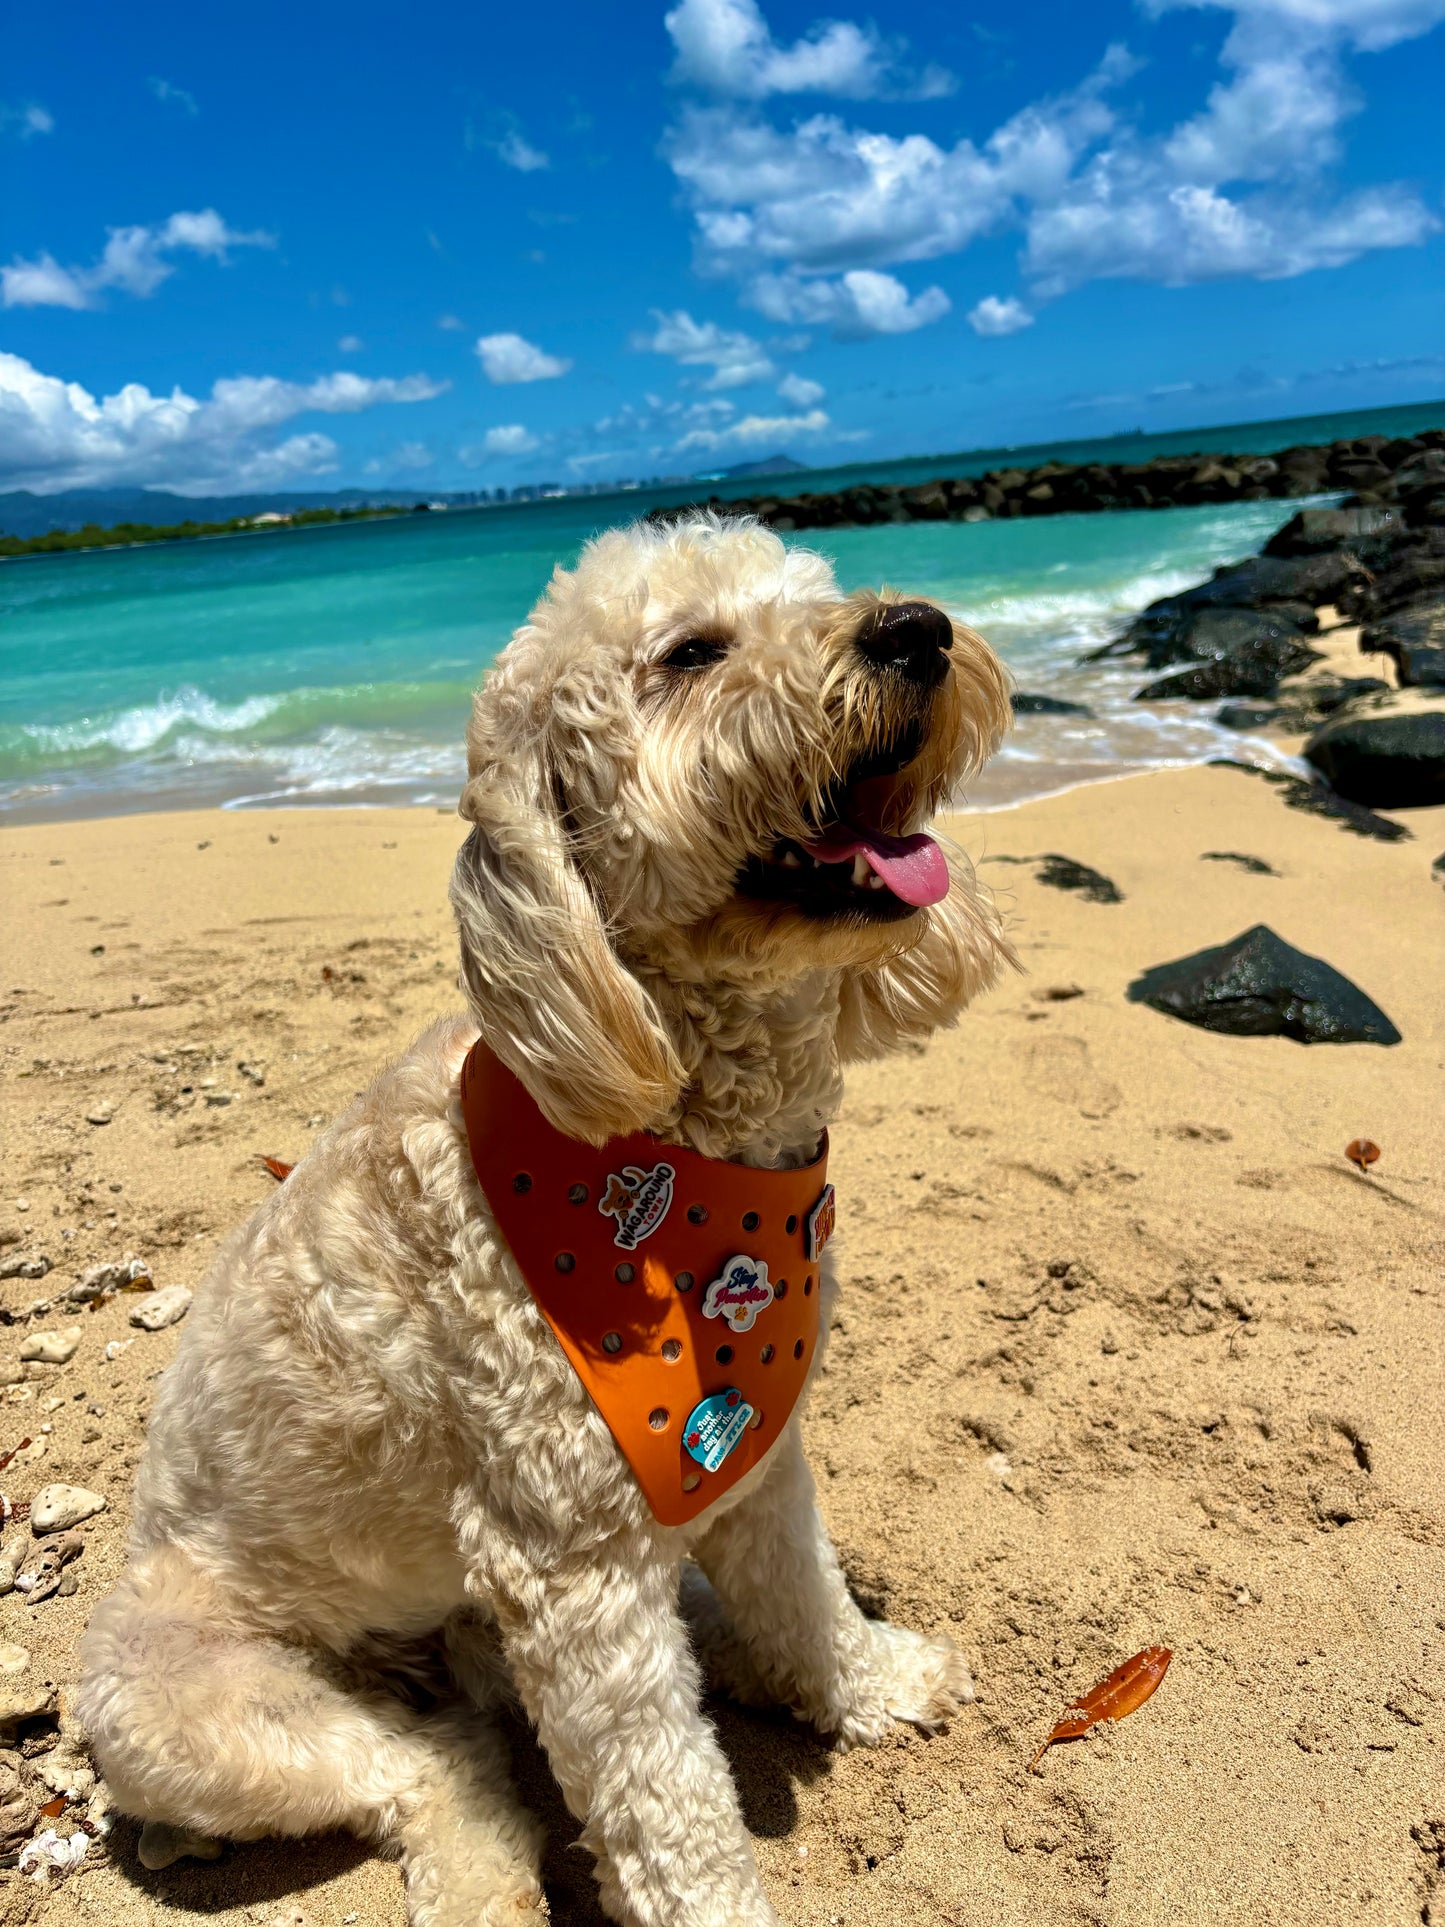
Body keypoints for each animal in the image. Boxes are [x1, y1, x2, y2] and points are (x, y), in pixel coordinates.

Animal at [73, 512, 1009, 1927]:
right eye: (689, 654)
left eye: (823, 590)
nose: (916, 630)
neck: (671, 1159)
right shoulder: (572, 1576)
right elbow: (667, 1807)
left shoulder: (759, 1453)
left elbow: (803, 1595)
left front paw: (866, 1680)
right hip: (172, 1709)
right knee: (430, 1768)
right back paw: (481, 1880)